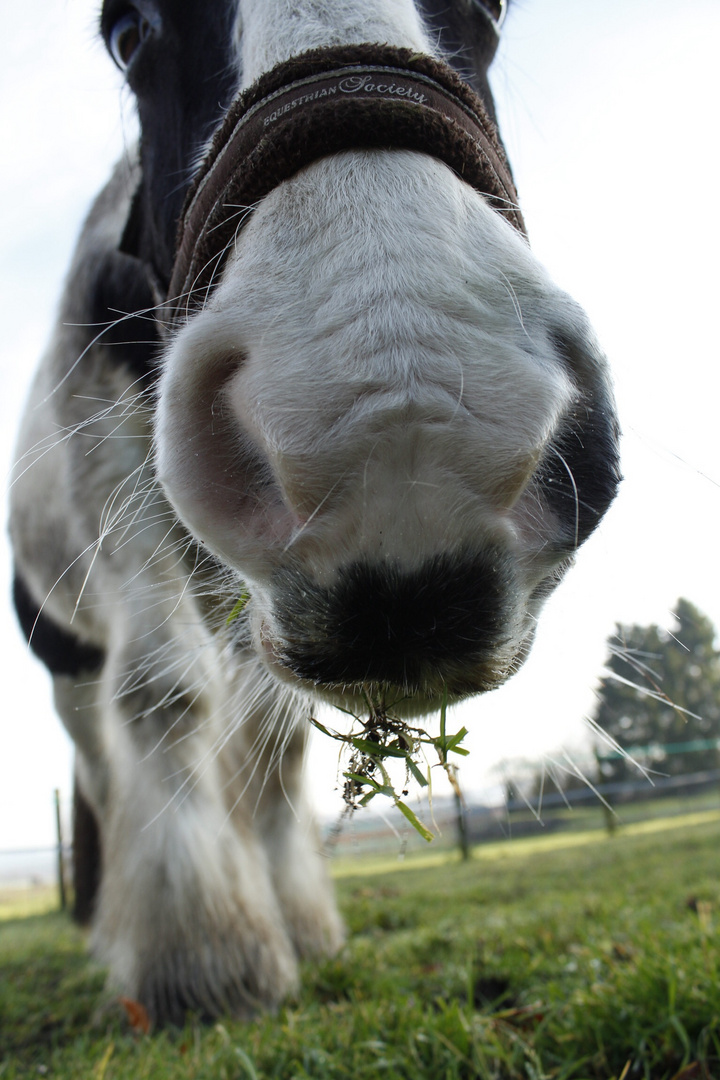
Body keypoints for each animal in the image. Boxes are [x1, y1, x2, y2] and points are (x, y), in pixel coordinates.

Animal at [8, 0, 621, 1023]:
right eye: (128, 33)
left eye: (494, 12)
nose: (403, 433)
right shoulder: (115, 498)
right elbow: (163, 690)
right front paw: (203, 954)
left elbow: (277, 743)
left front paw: (296, 921)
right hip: (67, 652)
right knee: (103, 755)